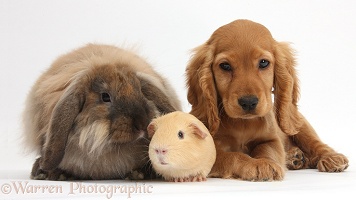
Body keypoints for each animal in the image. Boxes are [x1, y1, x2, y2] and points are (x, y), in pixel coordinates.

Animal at [185, 19, 350, 181]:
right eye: (225, 66)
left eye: (263, 63)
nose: (248, 102)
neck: (243, 124)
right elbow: (233, 156)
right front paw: (256, 165)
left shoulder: (270, 139)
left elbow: (268, 150)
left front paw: (265, 163)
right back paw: (295, 157)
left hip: (299, 124)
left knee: (314, 143)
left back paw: (330, 158)